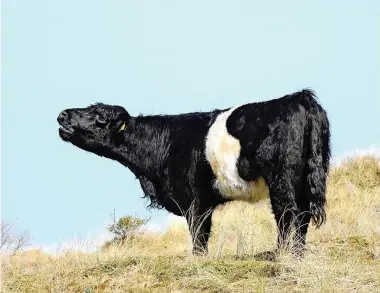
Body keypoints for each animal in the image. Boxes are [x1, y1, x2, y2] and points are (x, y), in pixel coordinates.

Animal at [56, 89, 330, 256]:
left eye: (98, 116)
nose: (63, 114)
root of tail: (299, 97)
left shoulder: (194, 201)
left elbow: (199, 236)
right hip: (309, 177)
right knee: (303, 215)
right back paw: (297, 254)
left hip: (282, 179)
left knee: (287, 215)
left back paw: (283, 254)